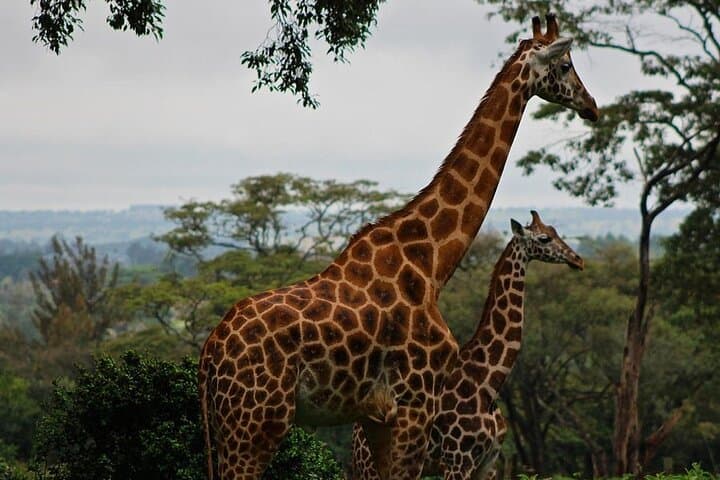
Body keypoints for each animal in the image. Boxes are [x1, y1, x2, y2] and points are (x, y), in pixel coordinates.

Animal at [352, 210, 584, 480]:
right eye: (544, 238)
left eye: (555, 231)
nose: (578, 260)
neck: (488, 384)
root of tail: (355, 435)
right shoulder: (457, 460)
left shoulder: (488, 463)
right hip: (374, 466)